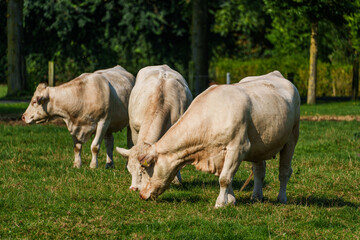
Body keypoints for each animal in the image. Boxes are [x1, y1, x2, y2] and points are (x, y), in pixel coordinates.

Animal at [130, 70, 300, 207]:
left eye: (144, 170)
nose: (141, 195)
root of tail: (276, 74)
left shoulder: (238, 147)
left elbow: (224, 178)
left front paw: (220, 203)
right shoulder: (220, 154)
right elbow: (226, 177)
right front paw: (230, 200)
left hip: (292, 138)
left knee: (284, 171)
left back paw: (281, 198)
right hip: (260, 146)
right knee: (259, 171)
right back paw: (256, 196)